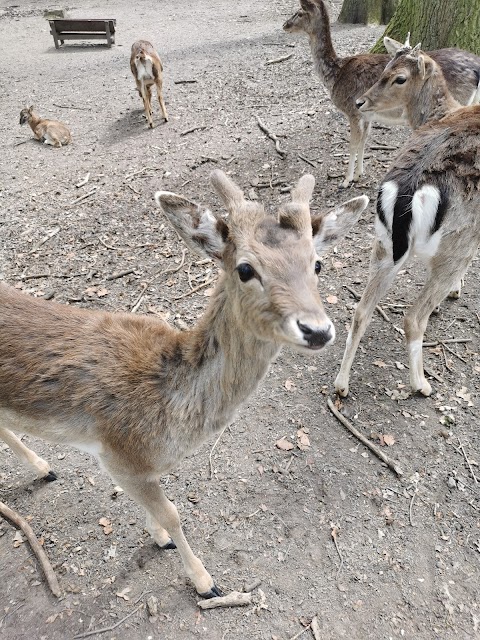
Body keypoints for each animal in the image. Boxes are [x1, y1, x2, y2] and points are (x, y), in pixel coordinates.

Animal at [0, 171, 368, 600]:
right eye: (245, 269)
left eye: (317, 263)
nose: (317, 330)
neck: (170, 413)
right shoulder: (119, 456)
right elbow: (174, 513)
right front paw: (205, 581)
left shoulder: (129, 466)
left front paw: (158, 537)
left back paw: (45, 468)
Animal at [284, 0, 480, 189]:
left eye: (299, 13)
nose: (285, 25)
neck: (335, 75)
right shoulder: (366, 115)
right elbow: (364, 141)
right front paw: (359, 175)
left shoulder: (352, 111)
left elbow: (352, 144)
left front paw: (345, 181)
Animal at [334, 47, 480, 398]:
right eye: (384, 69)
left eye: (397, 76)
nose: (360, 101)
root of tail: (408, 191)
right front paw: (457, 291)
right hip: (455, 245)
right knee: (413, 318)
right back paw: (421, 384)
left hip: (383, 244)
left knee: (361, 310)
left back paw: (341, 384)